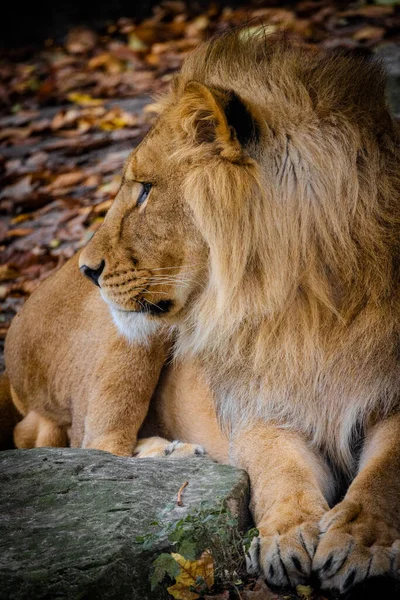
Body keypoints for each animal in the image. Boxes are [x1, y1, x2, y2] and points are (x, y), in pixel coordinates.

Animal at [2, 30, 400, 592]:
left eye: (146, 190)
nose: (88, 269)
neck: (313, 301)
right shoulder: (257, 408)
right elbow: (280, 473)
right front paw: (284, 536)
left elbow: (386, 474)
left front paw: (359, 543)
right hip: (133, 336)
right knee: (88, 444)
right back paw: (168, 454)